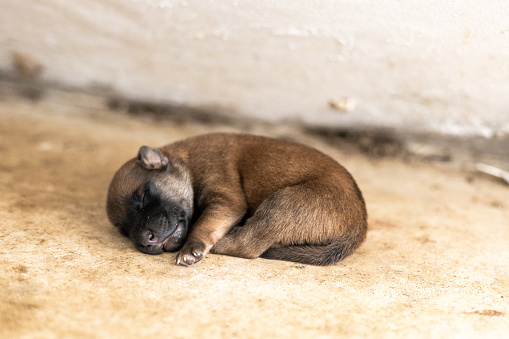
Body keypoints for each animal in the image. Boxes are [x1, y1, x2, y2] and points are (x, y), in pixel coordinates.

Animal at [105, 134, 368, 266]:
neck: (186, 162)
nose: (144, 240)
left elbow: (203, 226)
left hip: (283, 202)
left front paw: (192, 248)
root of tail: (359, 227)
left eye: (144, 195)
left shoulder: (225, 200)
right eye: (123, 229)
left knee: (248, 246)